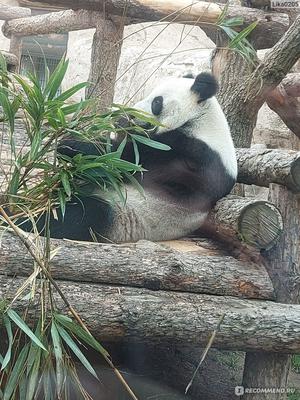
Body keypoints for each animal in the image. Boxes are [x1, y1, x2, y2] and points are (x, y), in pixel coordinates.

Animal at [20, 72, 237, 242]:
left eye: (157, 102)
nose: (130, 114)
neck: (202, 123)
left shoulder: (192, 156)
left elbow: (126, 163)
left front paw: (71, 144)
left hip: (124, 214)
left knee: (81, 215)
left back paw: (24, 218)